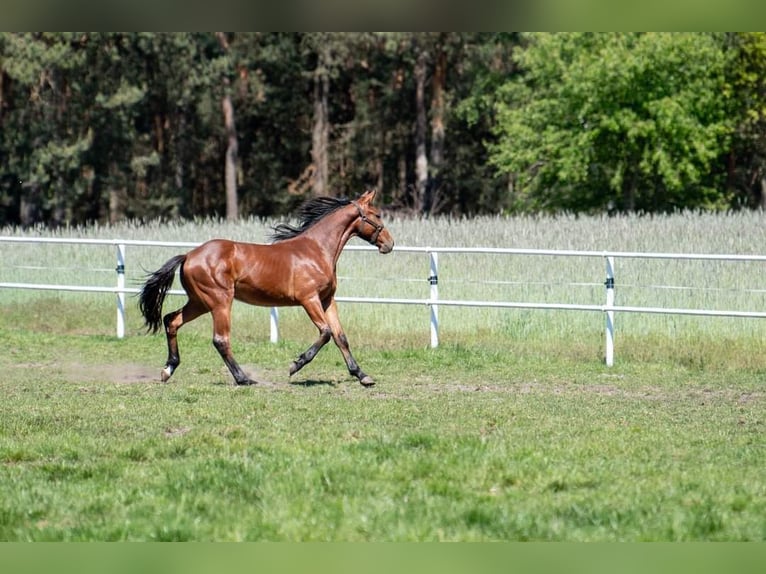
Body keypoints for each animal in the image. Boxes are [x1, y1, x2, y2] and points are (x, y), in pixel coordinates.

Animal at [139, 189, 400, 388]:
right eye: (377, 215)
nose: (389, 244)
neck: (317, 249)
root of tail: (189, 255)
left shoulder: (327, 300)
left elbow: (340, 337)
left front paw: (363, 376)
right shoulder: (309, 299)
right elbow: (325, 333)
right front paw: (294, 366)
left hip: (199, 302)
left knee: (172, 320)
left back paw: (168, 370)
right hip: (219, 301)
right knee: (220, 339)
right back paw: (244, 379)